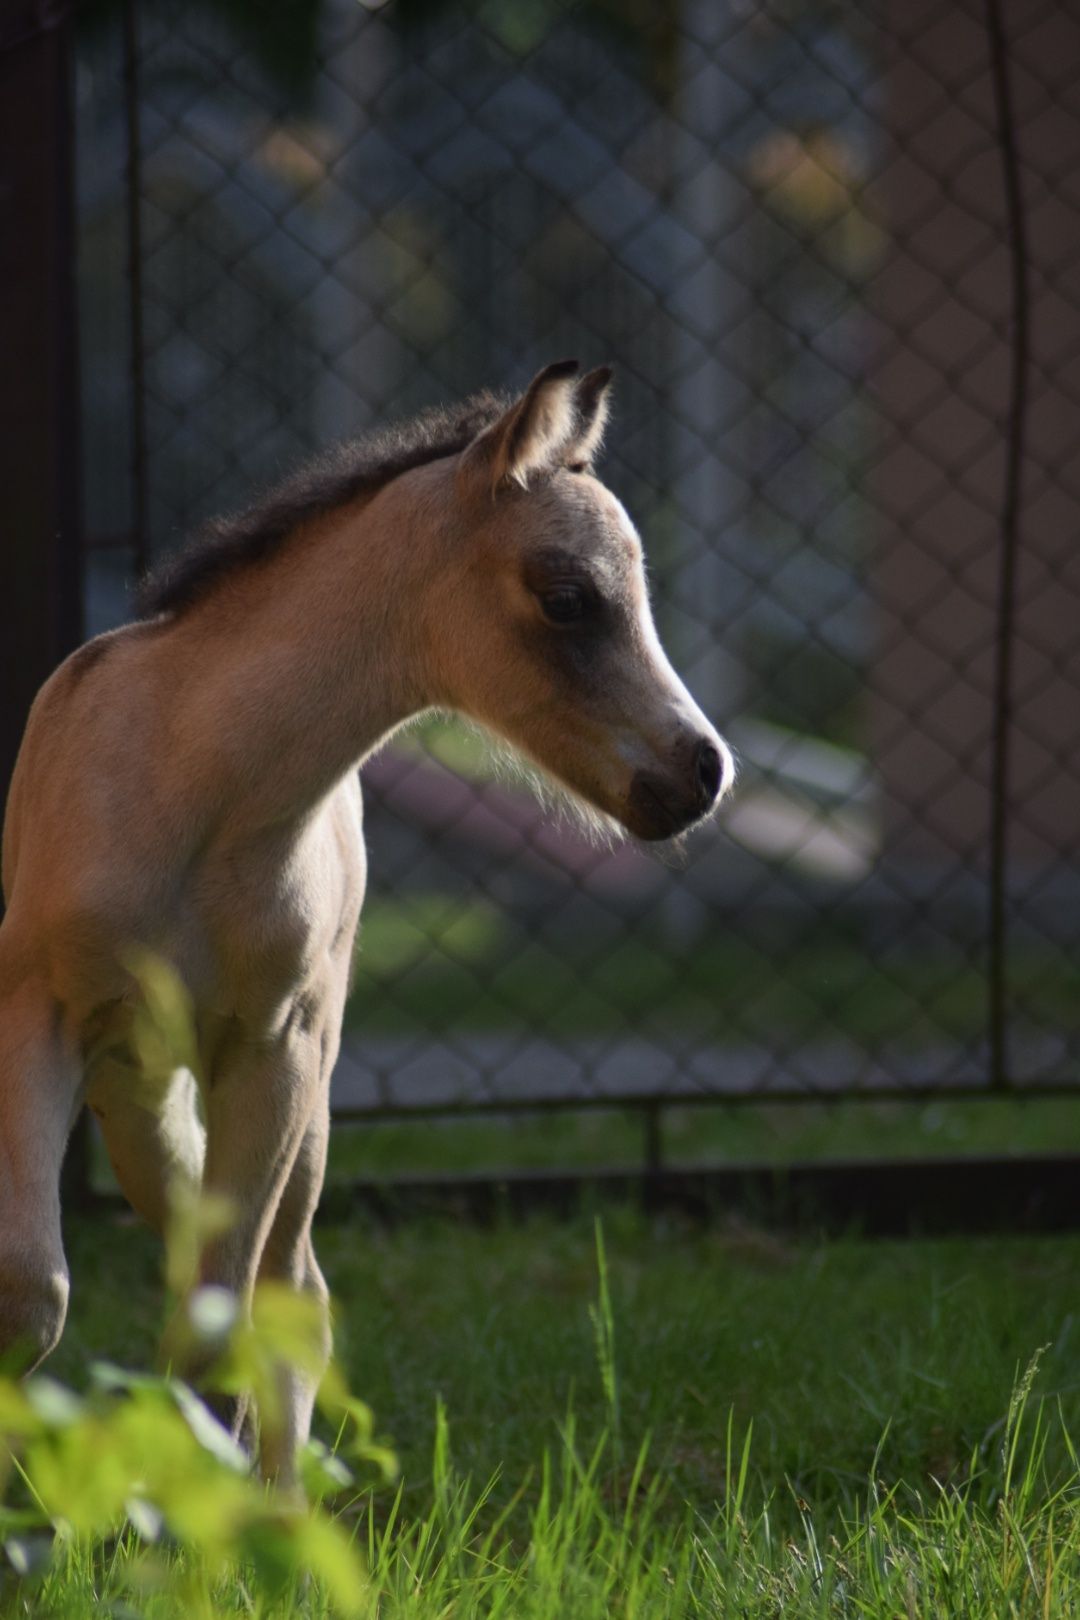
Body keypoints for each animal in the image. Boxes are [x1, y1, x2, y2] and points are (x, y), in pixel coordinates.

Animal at [0, 364, 735, 1483]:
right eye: (569, 597)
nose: (701, 773)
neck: (196, 789)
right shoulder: (38, 1020)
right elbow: (33, 1292)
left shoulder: (276, 1051)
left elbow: (227, 1327)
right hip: (138, 1089)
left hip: (298, 1094)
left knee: (291, 1295)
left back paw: (273, 1506)